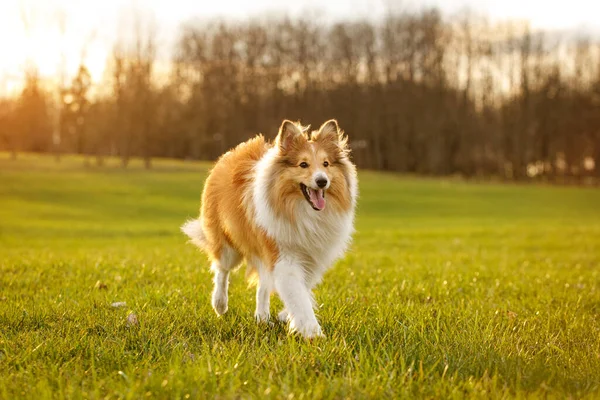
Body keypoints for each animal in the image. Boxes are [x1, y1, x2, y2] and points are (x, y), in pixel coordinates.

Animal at [182, 118, 356, 338]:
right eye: (303, 164)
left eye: (326, 164)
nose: (322, 181)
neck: (302, 211)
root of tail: (230, 154)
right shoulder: (284, 257)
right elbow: (298, 296)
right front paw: (312, 333)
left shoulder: (312, 257)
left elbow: (301, 290)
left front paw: (286, 317)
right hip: (229, 246)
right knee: (221, 270)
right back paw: (220, 305)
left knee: (262, 286)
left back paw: (262, 317)